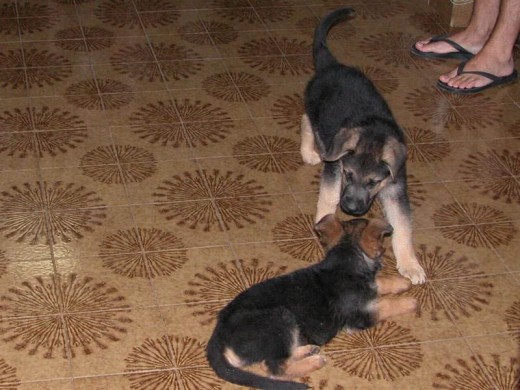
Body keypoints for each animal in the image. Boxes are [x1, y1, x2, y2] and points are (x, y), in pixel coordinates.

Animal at [207, 216, 418, 390]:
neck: (343, 263)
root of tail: (218, 332)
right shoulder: (361, 316)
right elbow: (387, 304)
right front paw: (410, 301)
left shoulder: (369, 288)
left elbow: (379, 283)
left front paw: (401, 282)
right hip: (281, 318)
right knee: (275, 368)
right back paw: (313, 361)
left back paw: (307, 349)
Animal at [300, 7, 426, 284]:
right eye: (348, 174)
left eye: (373, 182)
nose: (350, 208)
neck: (373, 134)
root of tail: (332, 65)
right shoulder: (335, 166)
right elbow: (328, 196)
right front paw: (323, 222)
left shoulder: (396, 187)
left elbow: (403, 226)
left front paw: (410, 264)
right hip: (316, 113)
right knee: (307, 121)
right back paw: (308, 151)